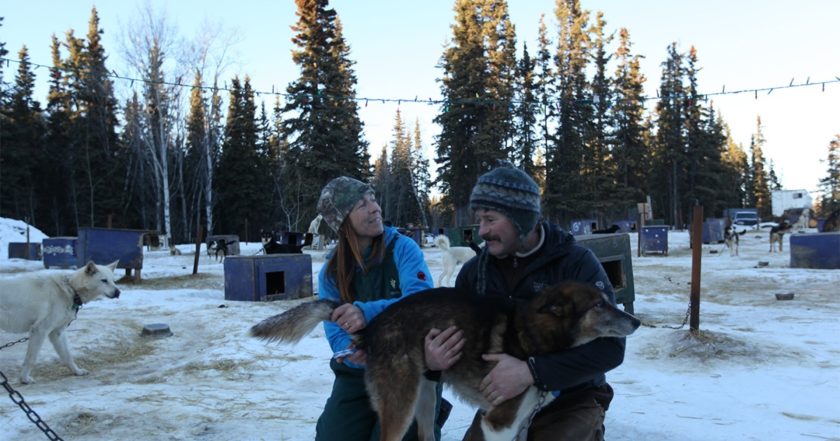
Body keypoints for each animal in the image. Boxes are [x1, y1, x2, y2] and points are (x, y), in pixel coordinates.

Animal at [249, 282, 636, 440]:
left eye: (608, 299)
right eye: (599, 304)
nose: (635, 321)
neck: (532, 336)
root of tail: (373, 326)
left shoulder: (518, 420)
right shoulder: (498, 422)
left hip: (425, 399)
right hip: (402, 404)